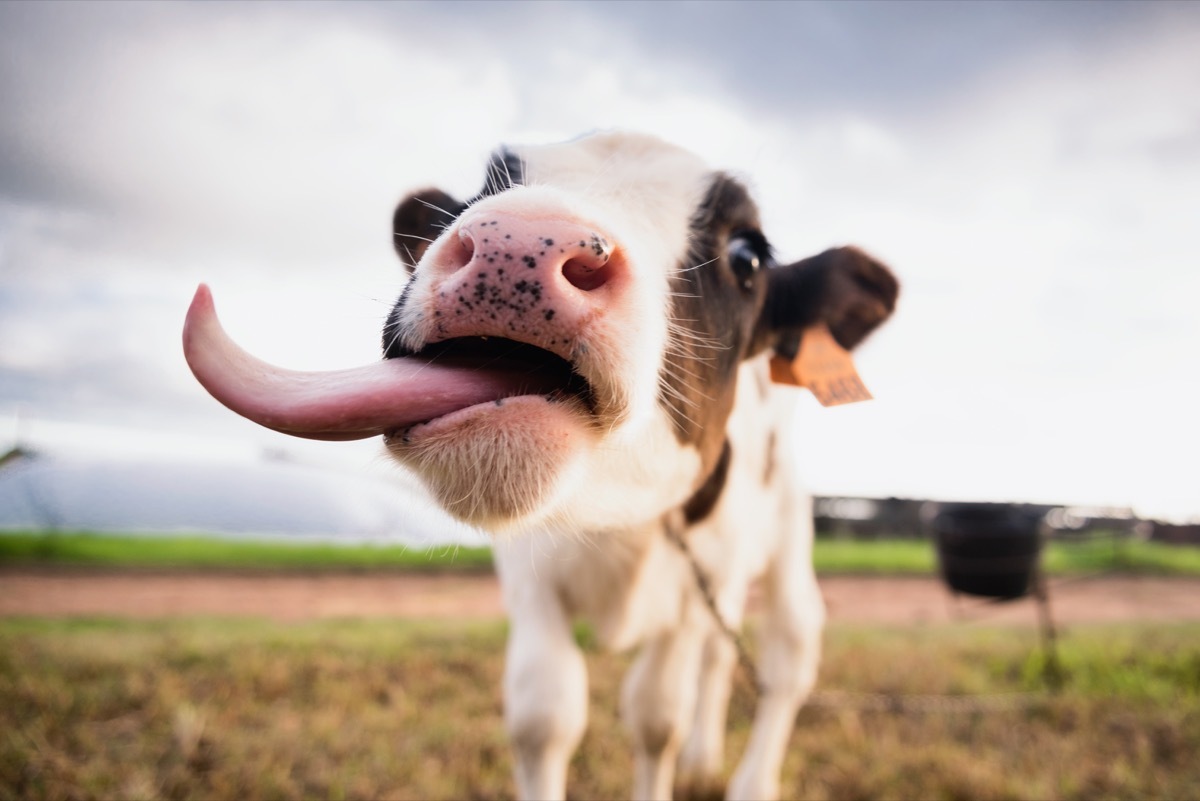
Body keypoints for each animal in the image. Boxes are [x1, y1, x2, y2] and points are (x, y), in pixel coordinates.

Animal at [184, 133, 902, 801]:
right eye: (480, 191)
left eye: (745, 254)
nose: (519, 237)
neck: (617, 529)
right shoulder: (530, 575)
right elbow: (544, 714)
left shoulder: (692, 586)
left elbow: (655, 718)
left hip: (782, 542)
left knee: (785, 657)